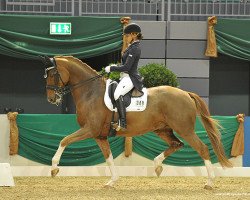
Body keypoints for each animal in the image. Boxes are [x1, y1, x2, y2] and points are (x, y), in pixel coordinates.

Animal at [42, 55, 231, 189]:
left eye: (53, 74)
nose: (51, 99)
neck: (91, 92)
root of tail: (185, 93)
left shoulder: (90, 129)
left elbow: (64, 140)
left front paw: (54, 168)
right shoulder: (99, 136)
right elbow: (108, 158)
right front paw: (112, 181)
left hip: (184, 129)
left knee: (202, 148)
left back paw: (209, 183)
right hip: (163, 129)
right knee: (177, 144)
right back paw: (157, 165)